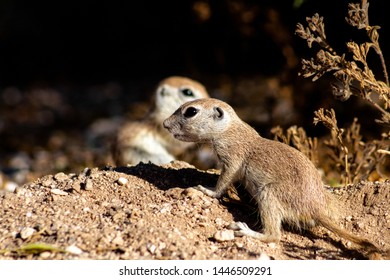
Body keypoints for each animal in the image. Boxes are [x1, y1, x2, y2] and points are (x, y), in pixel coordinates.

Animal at [162, 98, 384, 258]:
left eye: (191, 111)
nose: (165, 124)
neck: (232, 128)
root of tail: (315, 208)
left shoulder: (231, 158)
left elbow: (223, 181)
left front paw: (206, 190)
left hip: (269, 194)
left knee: (274, 236)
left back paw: (245, 230)